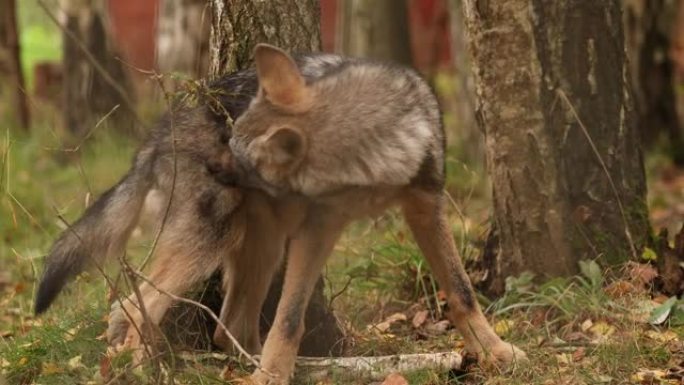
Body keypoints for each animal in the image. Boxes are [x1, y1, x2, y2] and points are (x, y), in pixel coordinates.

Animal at [34, 43, 528, 382]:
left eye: (239, 153)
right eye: (230, 137)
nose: (212, 162)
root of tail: (159, 132)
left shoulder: (426, 208)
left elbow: (462, 293)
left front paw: (497, 353)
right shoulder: (318, 231)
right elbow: (290, 319)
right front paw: (271, 377)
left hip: (263, 248)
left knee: (223, 326)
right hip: (213, 245)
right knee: (133, 310)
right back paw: (144, 371)